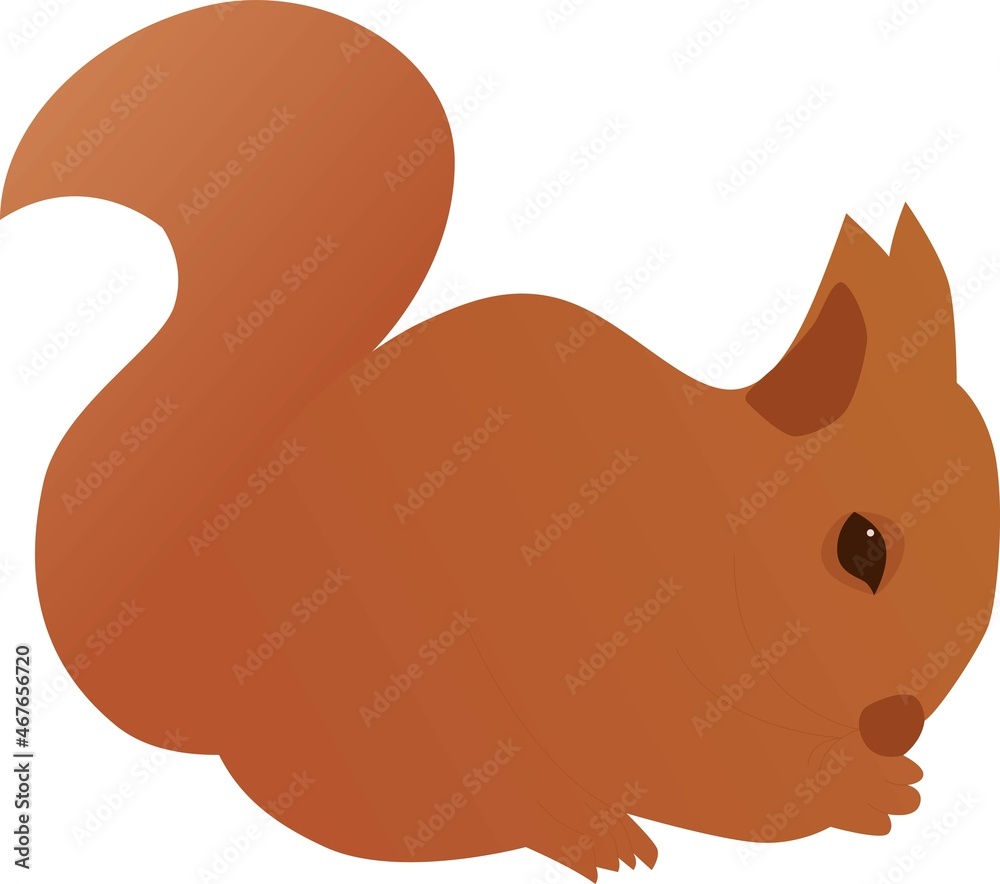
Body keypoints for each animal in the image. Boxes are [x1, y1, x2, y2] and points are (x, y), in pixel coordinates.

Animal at [4, 2, 996, 880]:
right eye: (859, 547)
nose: (897, 723)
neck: (721, 526)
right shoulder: (614, 662)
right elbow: (699, 774)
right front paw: (856, 794)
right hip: (406, 711)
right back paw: (585, 833)